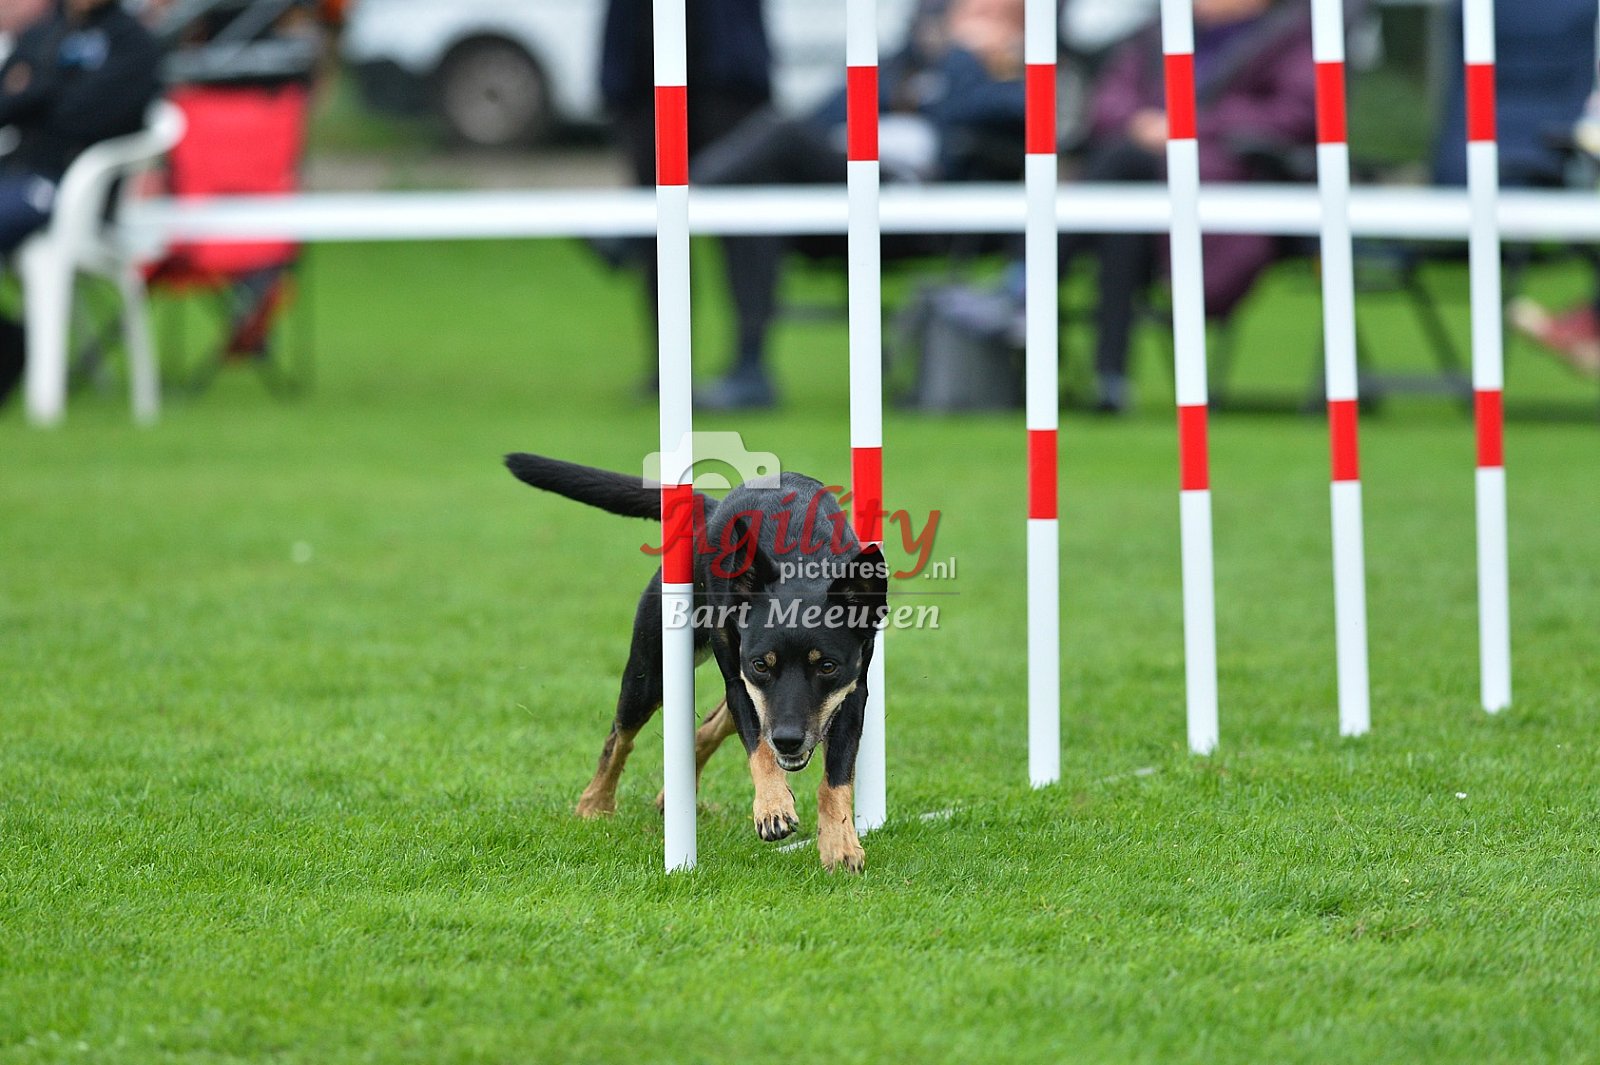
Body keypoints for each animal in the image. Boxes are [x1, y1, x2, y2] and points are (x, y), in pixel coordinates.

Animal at [505, 453, 888, 873]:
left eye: (827, 667)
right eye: (761, 665)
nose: (788, 740)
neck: (800, 564)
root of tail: (709, 508)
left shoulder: (851, 692)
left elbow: (836, 776)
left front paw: (840, 843)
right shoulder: (742, 679)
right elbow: (759, 749)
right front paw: (773, 807)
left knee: (711, 725)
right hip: (651, 671)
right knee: (620, 737)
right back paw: (595, 804)